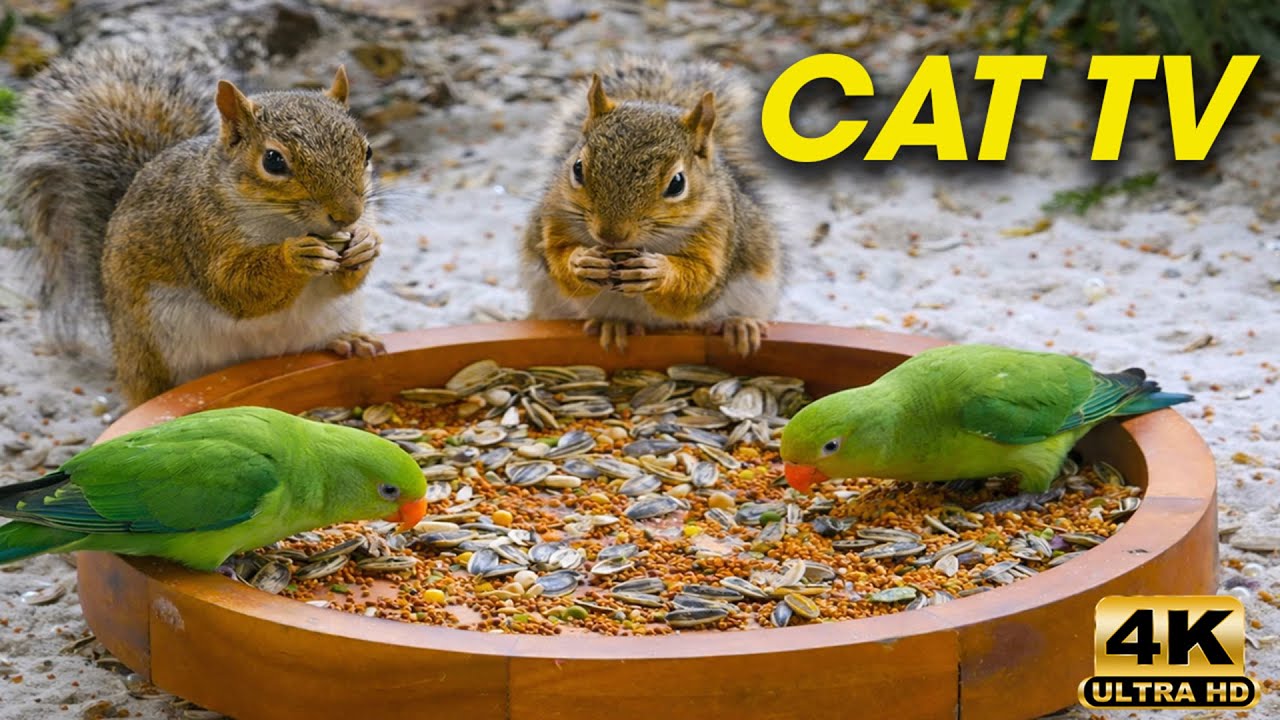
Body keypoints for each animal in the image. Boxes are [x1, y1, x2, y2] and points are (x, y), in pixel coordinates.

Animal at [6, 42, 385, 408]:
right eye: (273, 161)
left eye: (367, 151)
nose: (348, 214)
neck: (283, 225)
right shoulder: (199, 231)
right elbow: (233, 287)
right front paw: (295, 257)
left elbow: (342, 281)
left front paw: (366, 244)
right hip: (154, 350)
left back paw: (350, 341)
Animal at [518, 56, 783, 356]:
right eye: (577, 168)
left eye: (677, 183)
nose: (611, 235)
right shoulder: (555, 218)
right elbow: (557, 259)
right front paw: (581, 261)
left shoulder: (719, 231)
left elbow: (700, 286)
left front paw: (658, 271)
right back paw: (614, 324)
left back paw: (738, 325)